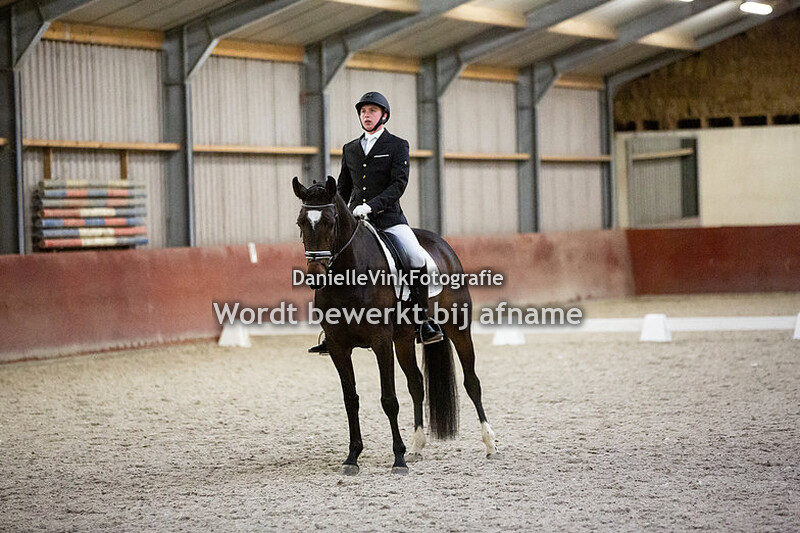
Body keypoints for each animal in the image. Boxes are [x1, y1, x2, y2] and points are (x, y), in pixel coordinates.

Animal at [292, 176, 500, 475]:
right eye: (300, 222)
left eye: (331, 222)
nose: (316, 277)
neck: (349, 275)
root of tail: (440, 243)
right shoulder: (338, 346)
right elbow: (350, 399)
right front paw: (352, 457)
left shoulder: (381, 342)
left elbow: (388, 399)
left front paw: (398, 459)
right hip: (403, 341)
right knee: (417, 384)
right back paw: (417, 447)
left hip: (458, 328)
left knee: (472, 382)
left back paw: (490, 445)